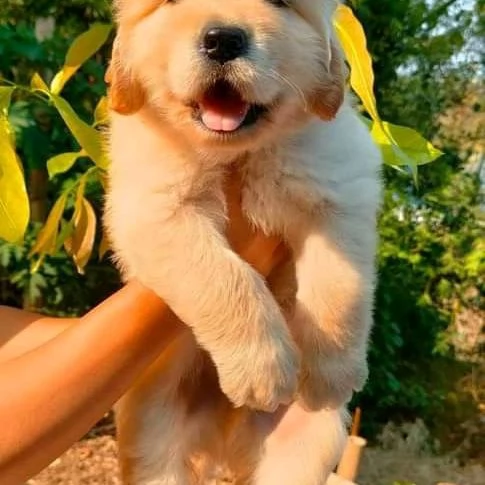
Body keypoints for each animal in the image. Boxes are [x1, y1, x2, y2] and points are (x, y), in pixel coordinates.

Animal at [104, 0, 380, 482]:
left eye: (282, 5)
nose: (222, 40)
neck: (238, 152)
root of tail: (222, 439)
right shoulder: (155, 207)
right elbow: (224, 278)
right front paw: (263, 368)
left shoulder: (340, 187)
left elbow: (339, 288)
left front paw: (331, 370)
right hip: (152, 427)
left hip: (304, 441)